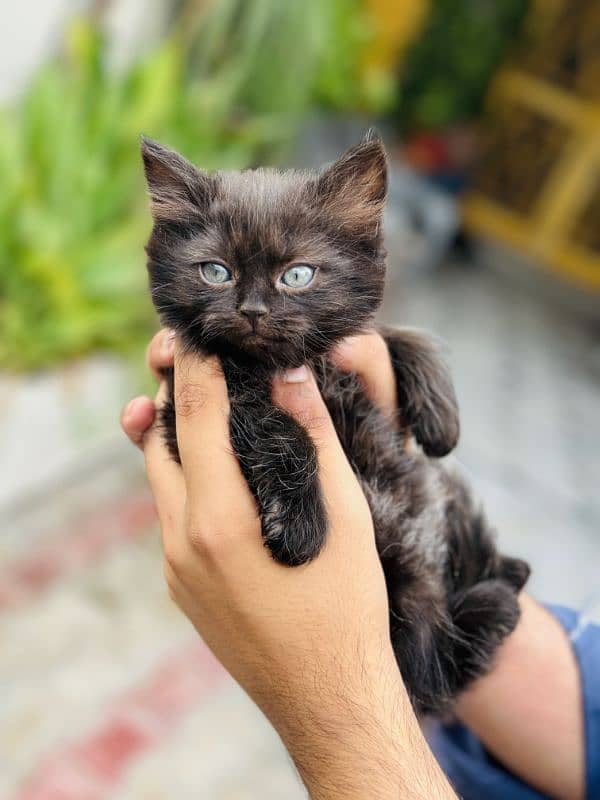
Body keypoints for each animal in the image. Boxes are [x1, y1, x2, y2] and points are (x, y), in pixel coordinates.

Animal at [142, 134, 528, 716]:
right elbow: (276, 424)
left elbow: (397, 335)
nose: (252, 310)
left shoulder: (351, 346)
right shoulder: (188, 406)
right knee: (433, 667)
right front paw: (300, 526)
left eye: (297, 276)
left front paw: (442, 419)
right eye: (216, 271)